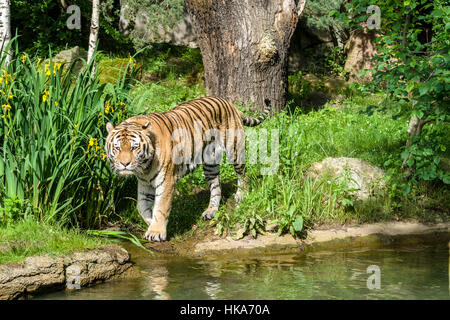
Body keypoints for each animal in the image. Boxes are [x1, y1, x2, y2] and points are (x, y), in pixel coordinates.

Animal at [104, 96, 270, 241]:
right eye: (117, 148)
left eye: (134, 148)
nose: (125, 164)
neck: (144, 167)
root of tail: (228, 103)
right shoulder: (145, 184)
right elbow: (142, 208)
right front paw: (152, 225)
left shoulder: (166, 181)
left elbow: (161, 207)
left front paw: (156, 232)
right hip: (210, 162)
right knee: (216, 186)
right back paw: (211, 211)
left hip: (234, 149)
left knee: (243, 173)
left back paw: (242, 195)